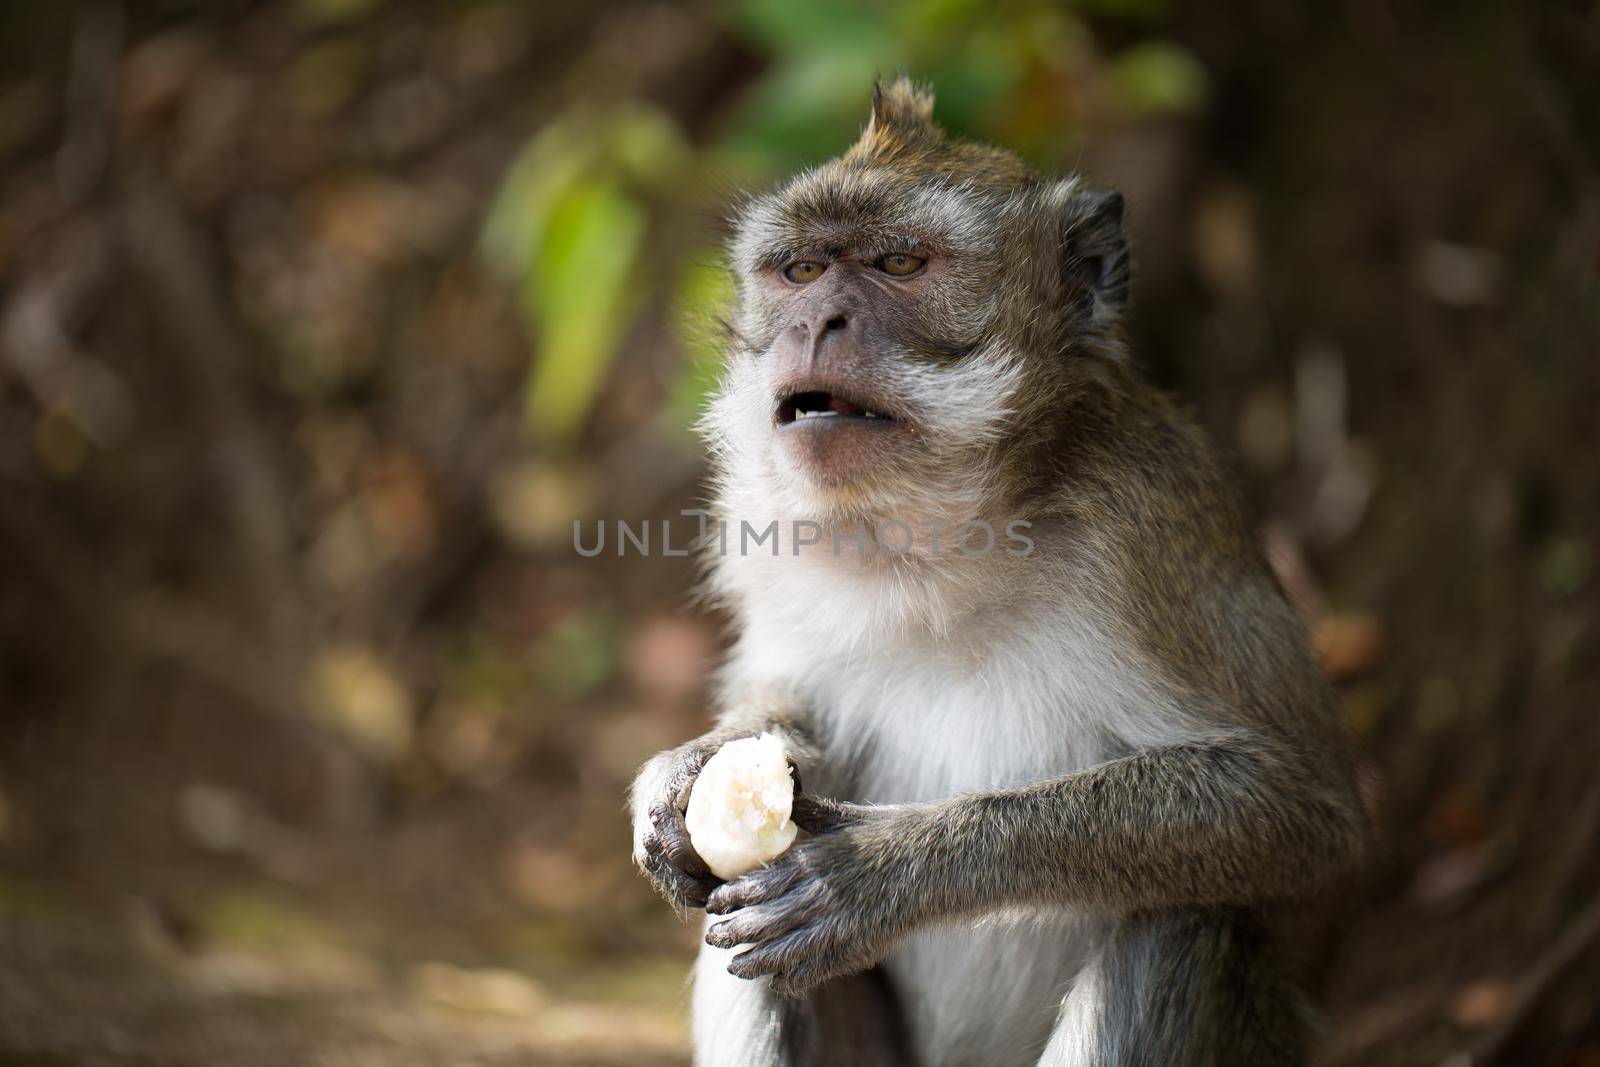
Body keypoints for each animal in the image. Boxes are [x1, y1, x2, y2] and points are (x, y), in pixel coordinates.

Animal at [630, 81, 1369, 1067]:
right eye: (800, 271)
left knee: (1182, 922)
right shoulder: (766, 538)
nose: (814, 321)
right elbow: (786, 707)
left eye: (900, 262)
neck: (941, 539)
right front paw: (685, 772)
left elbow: (1300, 808)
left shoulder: (1153, 523)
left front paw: (891, 870)